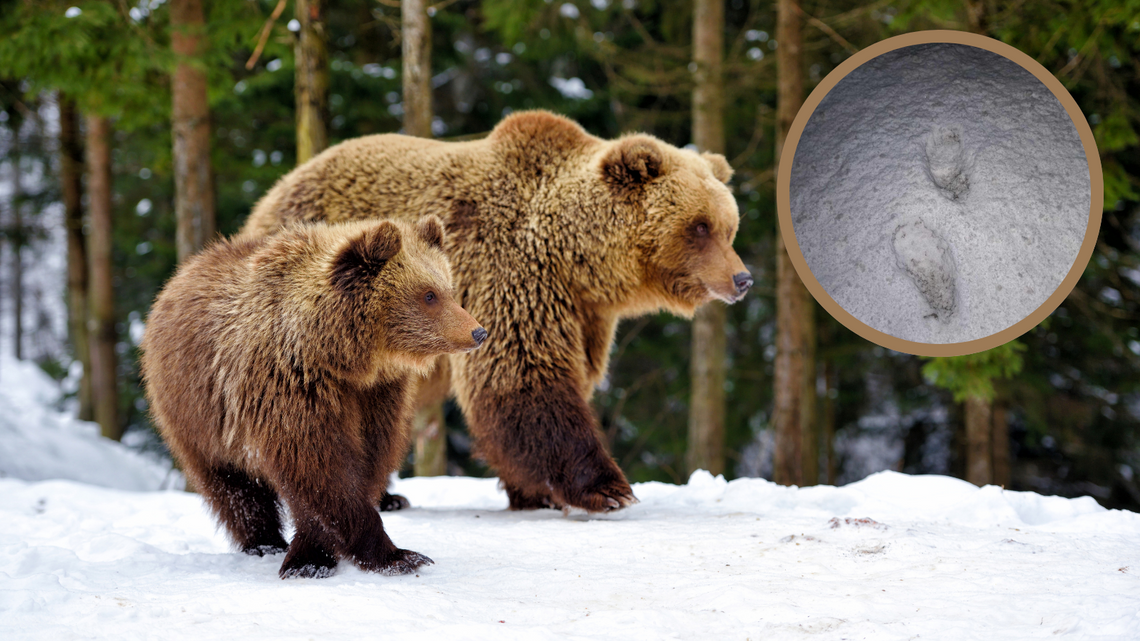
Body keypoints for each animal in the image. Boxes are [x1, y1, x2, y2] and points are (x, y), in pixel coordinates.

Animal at [140, 216, 483, 577]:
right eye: (428, 294)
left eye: (448, 288)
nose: (478, 332)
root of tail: (182, 273)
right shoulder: (291, 386)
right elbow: (319, 470)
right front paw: (387, 556)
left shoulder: (376, 395)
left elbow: (367, 460)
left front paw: (318, 551)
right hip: (197, 414)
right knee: (232, 487)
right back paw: (263, 541)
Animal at [240, 107, 752, 510]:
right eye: (699, 226)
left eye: (729, 226)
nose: (742, 279)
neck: (577, 260)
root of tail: (276, 190)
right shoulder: (514, 277)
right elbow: (524, 379)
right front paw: (608, 488)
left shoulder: (583, 313)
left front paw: (535, 493)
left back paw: (386, 495)